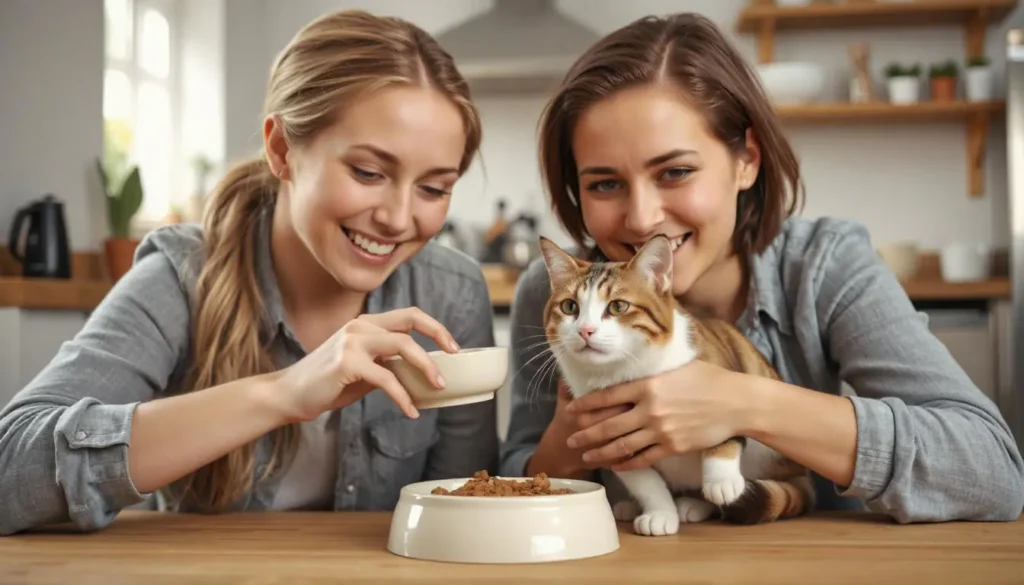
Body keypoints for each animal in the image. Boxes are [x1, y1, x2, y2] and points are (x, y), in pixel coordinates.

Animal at [536, 235, 815, 536]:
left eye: (618, 306)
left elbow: (723, 427)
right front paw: (660, 512)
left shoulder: (718, 372)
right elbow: (644, 480)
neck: (625, 371)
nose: (585, 330)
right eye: (570, 307)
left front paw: (721, 479)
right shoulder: (608, 436)